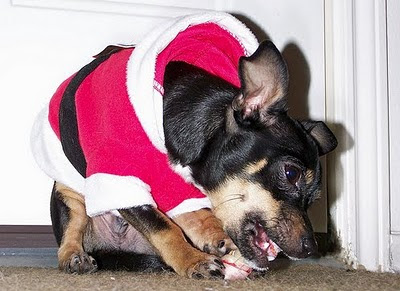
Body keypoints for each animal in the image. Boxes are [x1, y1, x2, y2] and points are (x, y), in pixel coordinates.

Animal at [32, 13, 336, 280]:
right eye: (291, 173)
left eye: (314, 199)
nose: (311, 248)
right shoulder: (120, 177)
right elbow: (164, 228)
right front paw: (193, 261)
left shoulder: (178, 187)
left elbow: (190, 214)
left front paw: (211, 237)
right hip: (68, 191)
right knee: (73, 227)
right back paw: (74, 256)